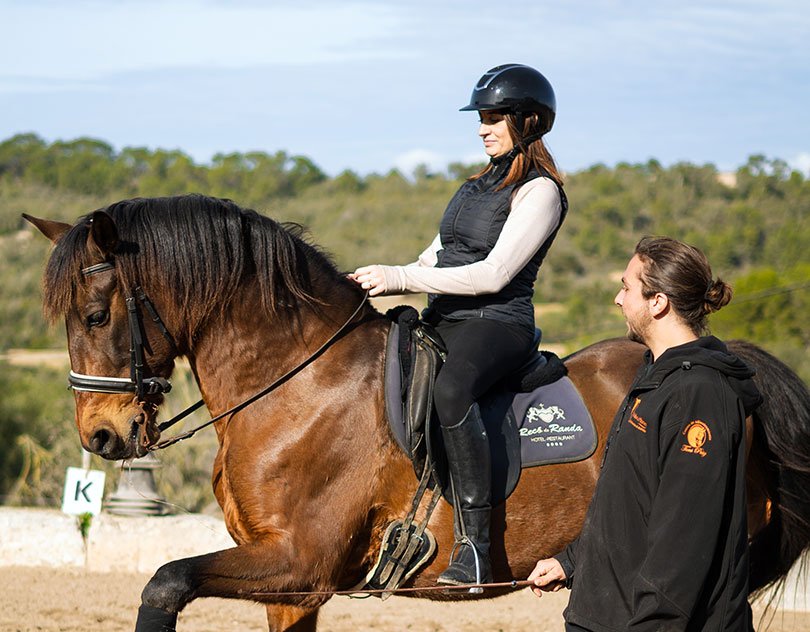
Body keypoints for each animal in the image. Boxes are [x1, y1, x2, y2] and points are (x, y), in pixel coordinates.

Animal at [25, 194, 810, 631]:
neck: (297, 383)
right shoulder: (293, 585)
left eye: (96, 315)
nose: (102, 436)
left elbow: (165, 581)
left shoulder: (299, 559)